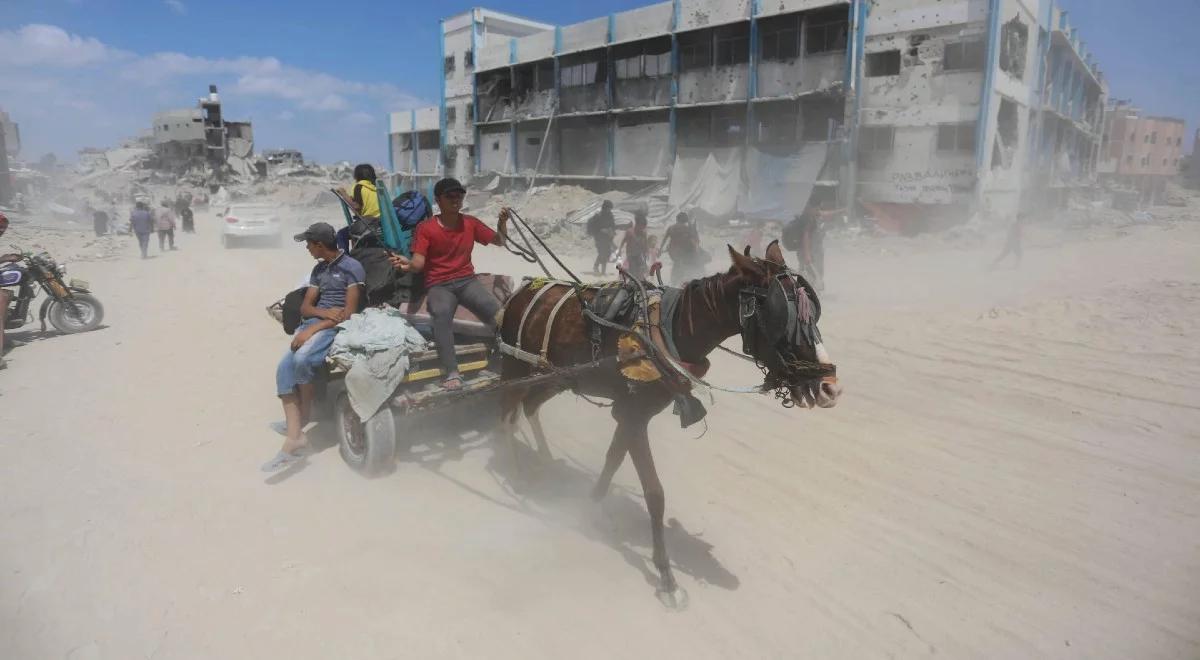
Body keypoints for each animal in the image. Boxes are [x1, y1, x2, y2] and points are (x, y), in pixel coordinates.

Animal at [492, 241, 840, 607]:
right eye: (780, 317)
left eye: (812, 315)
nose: (830, 387)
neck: (669, 329)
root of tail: (517, 293)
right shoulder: (633, 415)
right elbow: (654, 493)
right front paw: (666, 575)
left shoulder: (631, 414)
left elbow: (613, 459)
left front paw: (593, 506)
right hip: (514, 368)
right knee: (506, 415)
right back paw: (518, 473)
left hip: (555, 376)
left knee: (530, 406)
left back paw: (546, 466)